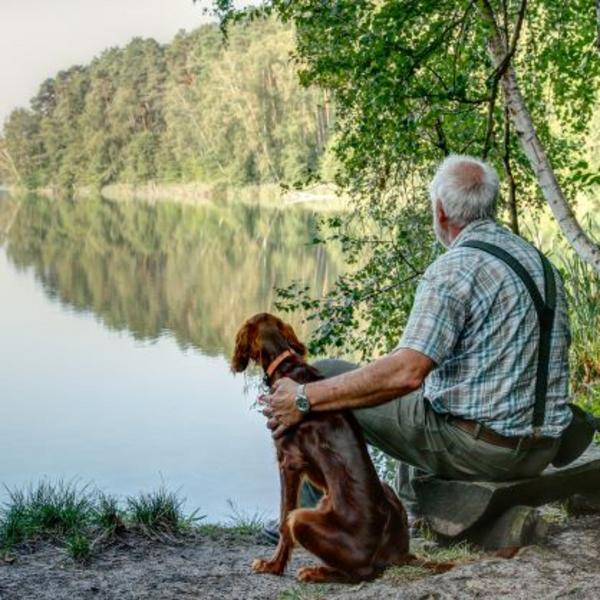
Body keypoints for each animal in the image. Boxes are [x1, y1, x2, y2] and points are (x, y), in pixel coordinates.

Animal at [230, 314, 450, 580]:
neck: (286, 364)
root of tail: (398, 555)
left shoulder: (289, 462)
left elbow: (283, 520)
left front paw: (273, 566)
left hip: (302, 518)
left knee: (362, 572)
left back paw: (316, 572)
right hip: (384, 489)